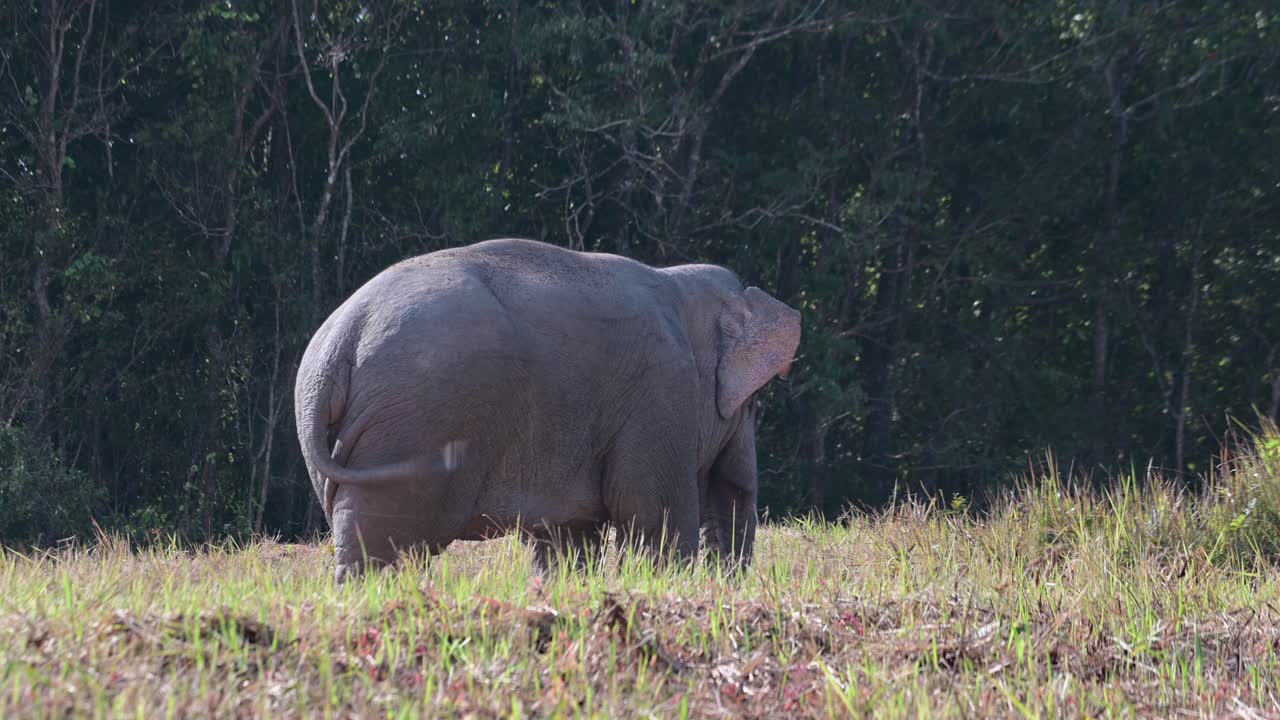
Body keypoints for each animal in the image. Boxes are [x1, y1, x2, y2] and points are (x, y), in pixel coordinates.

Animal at [294, 238, 801, 582]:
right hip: (410, 426)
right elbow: (652, 512)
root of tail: (343, 337)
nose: (723, 580)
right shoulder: (662, 390)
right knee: (391, 541)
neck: (678, 282)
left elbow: (568, 535)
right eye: (753, 404)